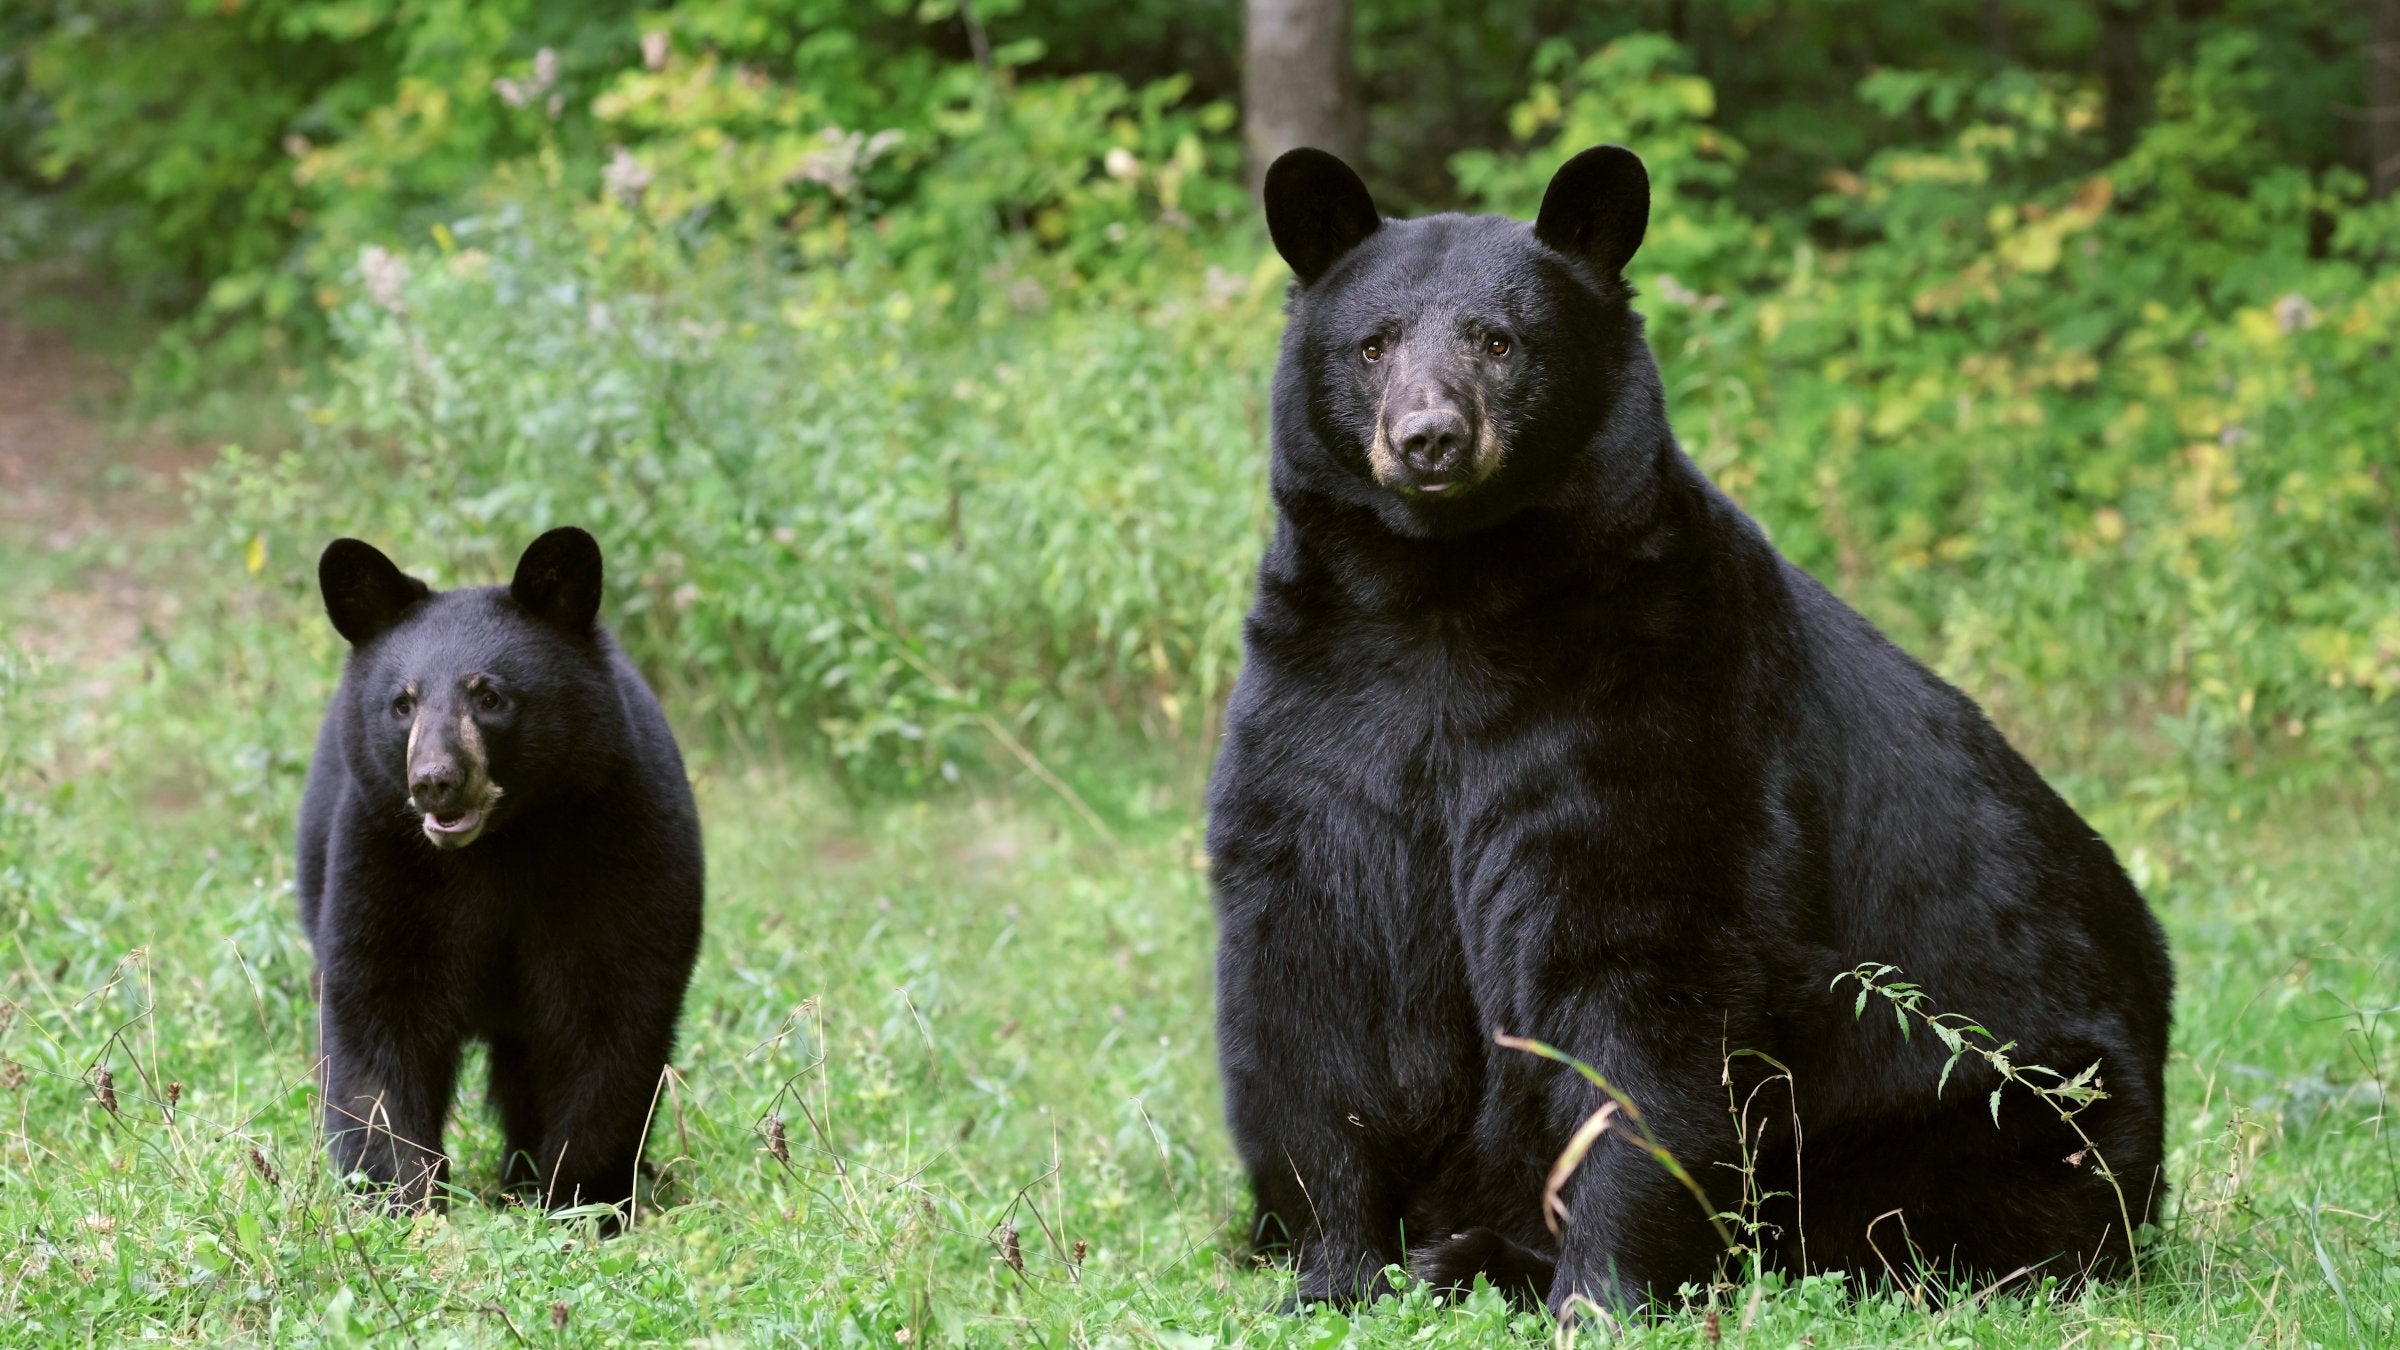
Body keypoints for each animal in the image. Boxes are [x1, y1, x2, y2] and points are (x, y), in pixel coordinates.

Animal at [298, 526, 704, 1220]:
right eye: (401, 704)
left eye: (489, 697)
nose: (434, 781)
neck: (497, 848)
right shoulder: (379, 857)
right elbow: (376, 1016)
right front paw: (400, 1197)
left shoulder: (623, 846)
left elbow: (611, 1016)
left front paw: (580, 1200)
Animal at [1205, 145, 2172, 1316]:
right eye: (1373, 343)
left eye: (1499, 340)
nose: (1429, 439)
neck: (1446, 594)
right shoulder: (1322, 700)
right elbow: (1316, 979)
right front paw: (1334, 1266)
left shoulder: (1662, 701)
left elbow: (1641, 985)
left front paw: (1602, 1288)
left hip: (2003, 1100)